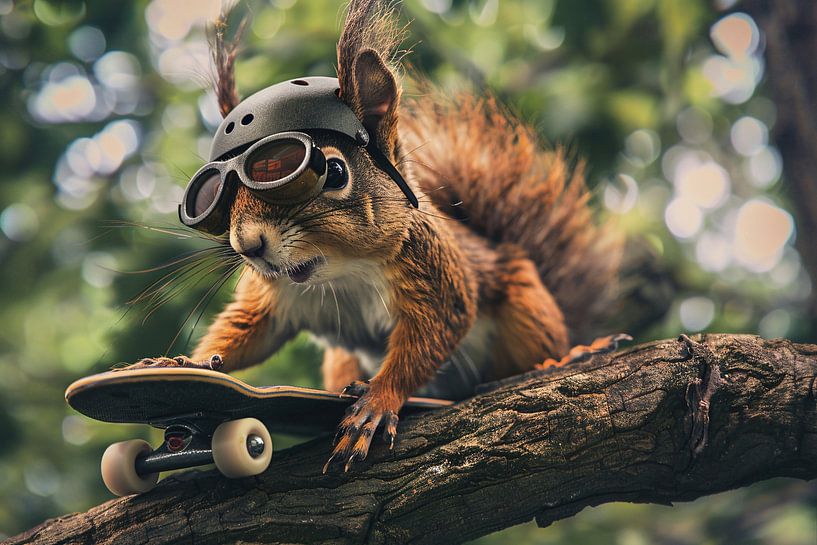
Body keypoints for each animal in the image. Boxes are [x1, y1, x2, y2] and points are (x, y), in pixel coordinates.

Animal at [127, 0, 625, 472]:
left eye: (334, 172)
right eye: (221, 195)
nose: (249, 247)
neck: (339, 273)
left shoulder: (432, 273)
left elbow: (432, 332)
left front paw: (377, 401)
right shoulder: (272, 300)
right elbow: (246, 332)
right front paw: (183, 365)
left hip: (526, 306)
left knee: (536, 348)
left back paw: (571, 354)